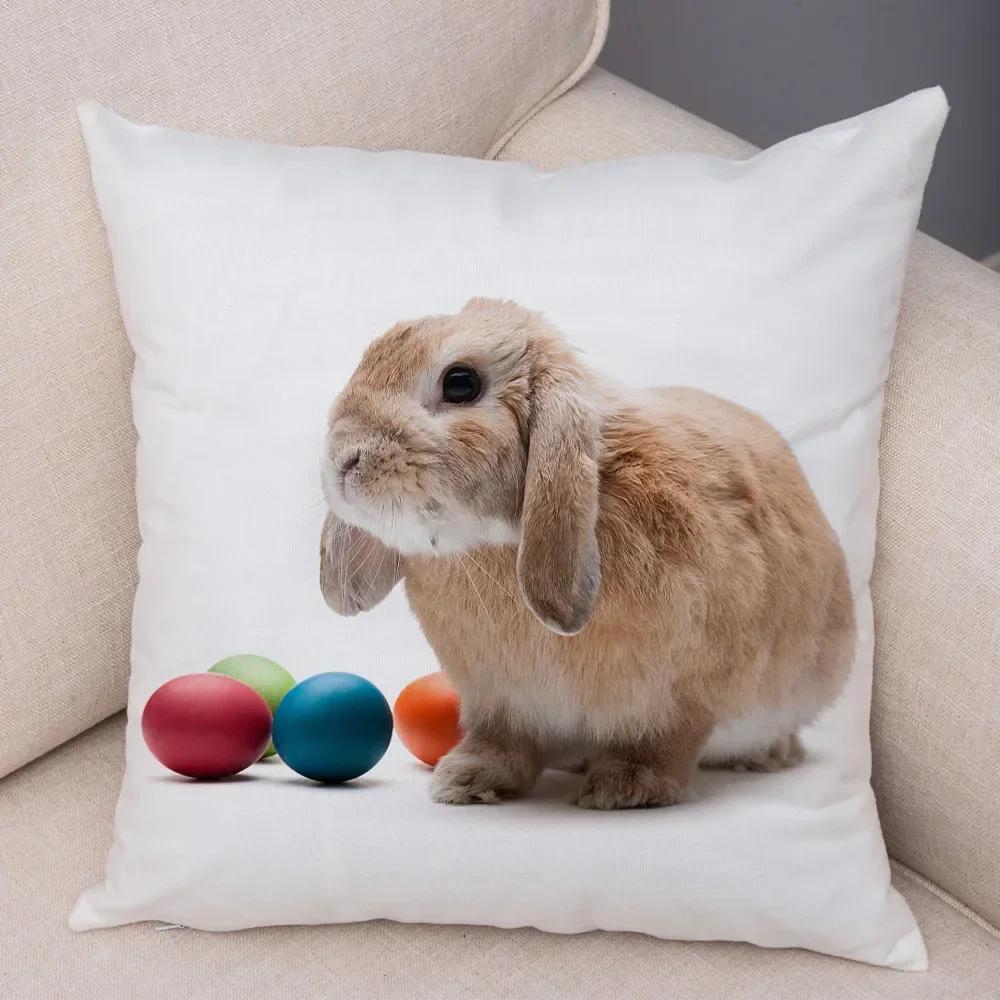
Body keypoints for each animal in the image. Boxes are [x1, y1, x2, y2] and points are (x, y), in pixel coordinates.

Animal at [318, 298, 855, 809]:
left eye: (460, 383)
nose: (344, 462)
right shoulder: (499, 701)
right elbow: (503, 745)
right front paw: (465, 780)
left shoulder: (676, 696)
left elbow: (662, 741)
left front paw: (627, 787)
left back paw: (764, 756)